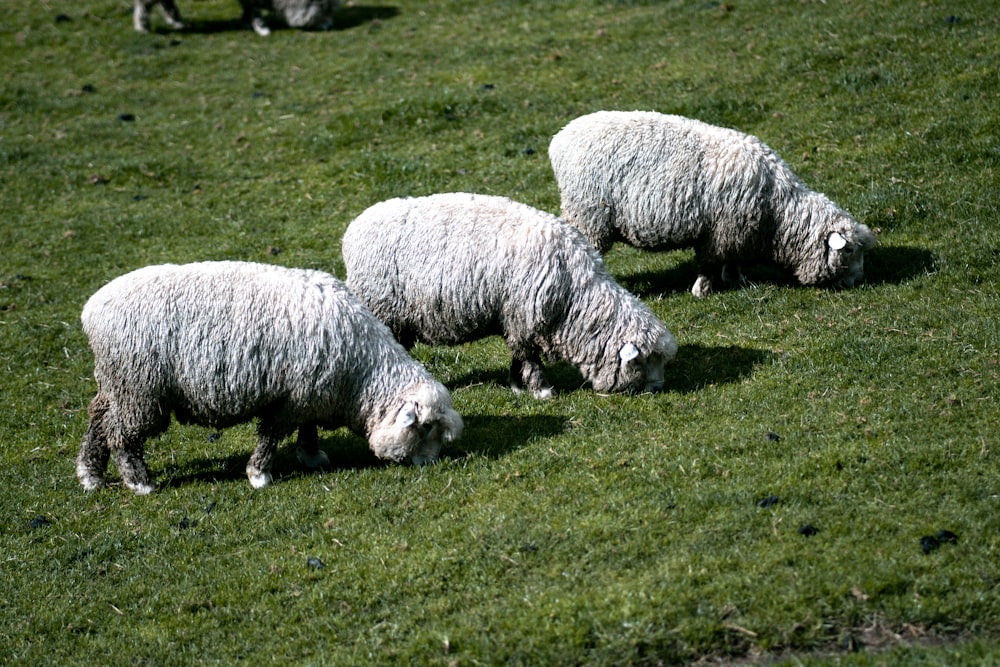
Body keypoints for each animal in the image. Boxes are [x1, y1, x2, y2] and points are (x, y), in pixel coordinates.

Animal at [76, 260, 462, 496]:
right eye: (425, 427)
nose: (430, 465)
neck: (362, 372)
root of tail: (91, 310)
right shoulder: (290, 399)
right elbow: (272, 437)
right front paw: (259, 474)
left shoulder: (310, 395)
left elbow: (308, 428)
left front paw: (311, 455)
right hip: (138, 388)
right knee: (122, 435)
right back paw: (139, 481)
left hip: (115, 384)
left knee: (98, 420)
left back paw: (90, 475)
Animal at [340, 193, 676, 402]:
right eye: (645, 361)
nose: (659, 388)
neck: (575, 296)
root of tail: (352, 230)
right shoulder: (523, 317)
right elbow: (529, 357)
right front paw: (541, 391)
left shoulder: (517, 319)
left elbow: (519, 355)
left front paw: (517, 386)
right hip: (383, 308)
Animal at [548, 111, 876, 298]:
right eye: (848, 250)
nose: (858, 281)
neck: (778, 209)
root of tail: (560, 138)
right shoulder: (720, 232)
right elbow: (709, 264)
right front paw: (702, 291)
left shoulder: (739, 232)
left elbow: (732, 261)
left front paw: (737, 280)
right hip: (590, 214)